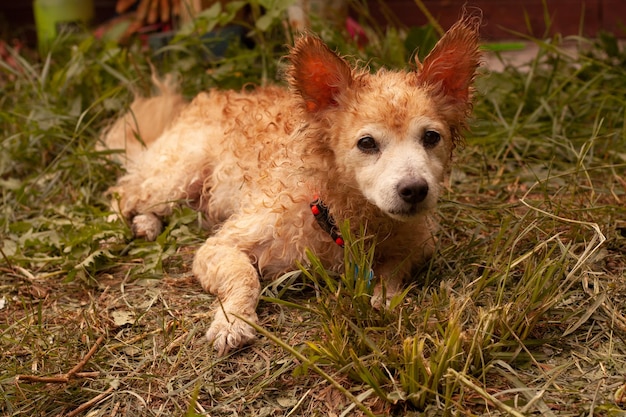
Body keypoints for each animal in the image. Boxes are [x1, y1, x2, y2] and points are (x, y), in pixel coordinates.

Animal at [102, 16, 480, 354]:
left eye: (431, 137)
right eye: (367, 143)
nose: (414, 189)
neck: (337, 212)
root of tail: (203, 100)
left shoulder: (420, 243)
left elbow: (393, 270)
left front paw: (385, 296)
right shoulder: (220, 247)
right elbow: (245, 276)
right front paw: (233, 321)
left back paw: (146, 224)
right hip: (178, 176)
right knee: (125, 191)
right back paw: (112, 232)